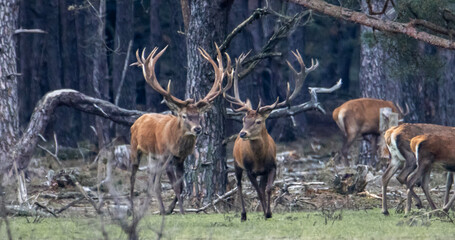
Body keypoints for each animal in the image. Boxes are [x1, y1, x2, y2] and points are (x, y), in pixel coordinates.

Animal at [129, 44, 232, 214]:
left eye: (199, 115)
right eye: (184, 115)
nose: (197, 129)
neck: (176, 145)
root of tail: (138, 120)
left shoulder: (180, 160)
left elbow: (181, 186)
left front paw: (173, 209)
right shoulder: (167, 157)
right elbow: (174, 187)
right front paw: (179, 211)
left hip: (153, 156)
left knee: (152, 180)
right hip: (135, 147)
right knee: (133, 176)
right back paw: (132, 207)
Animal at [225, 50, 320, 221]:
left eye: (258, 121)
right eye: (243, 120)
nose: (242, 133)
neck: (259, 159)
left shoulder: (272, 166)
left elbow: (268, 189)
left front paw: (268, 213)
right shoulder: (249, 170)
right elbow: (258, 191)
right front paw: (265, 212)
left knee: (260, 187)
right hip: (236, 163)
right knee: (239, 185)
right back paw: (243, 214)